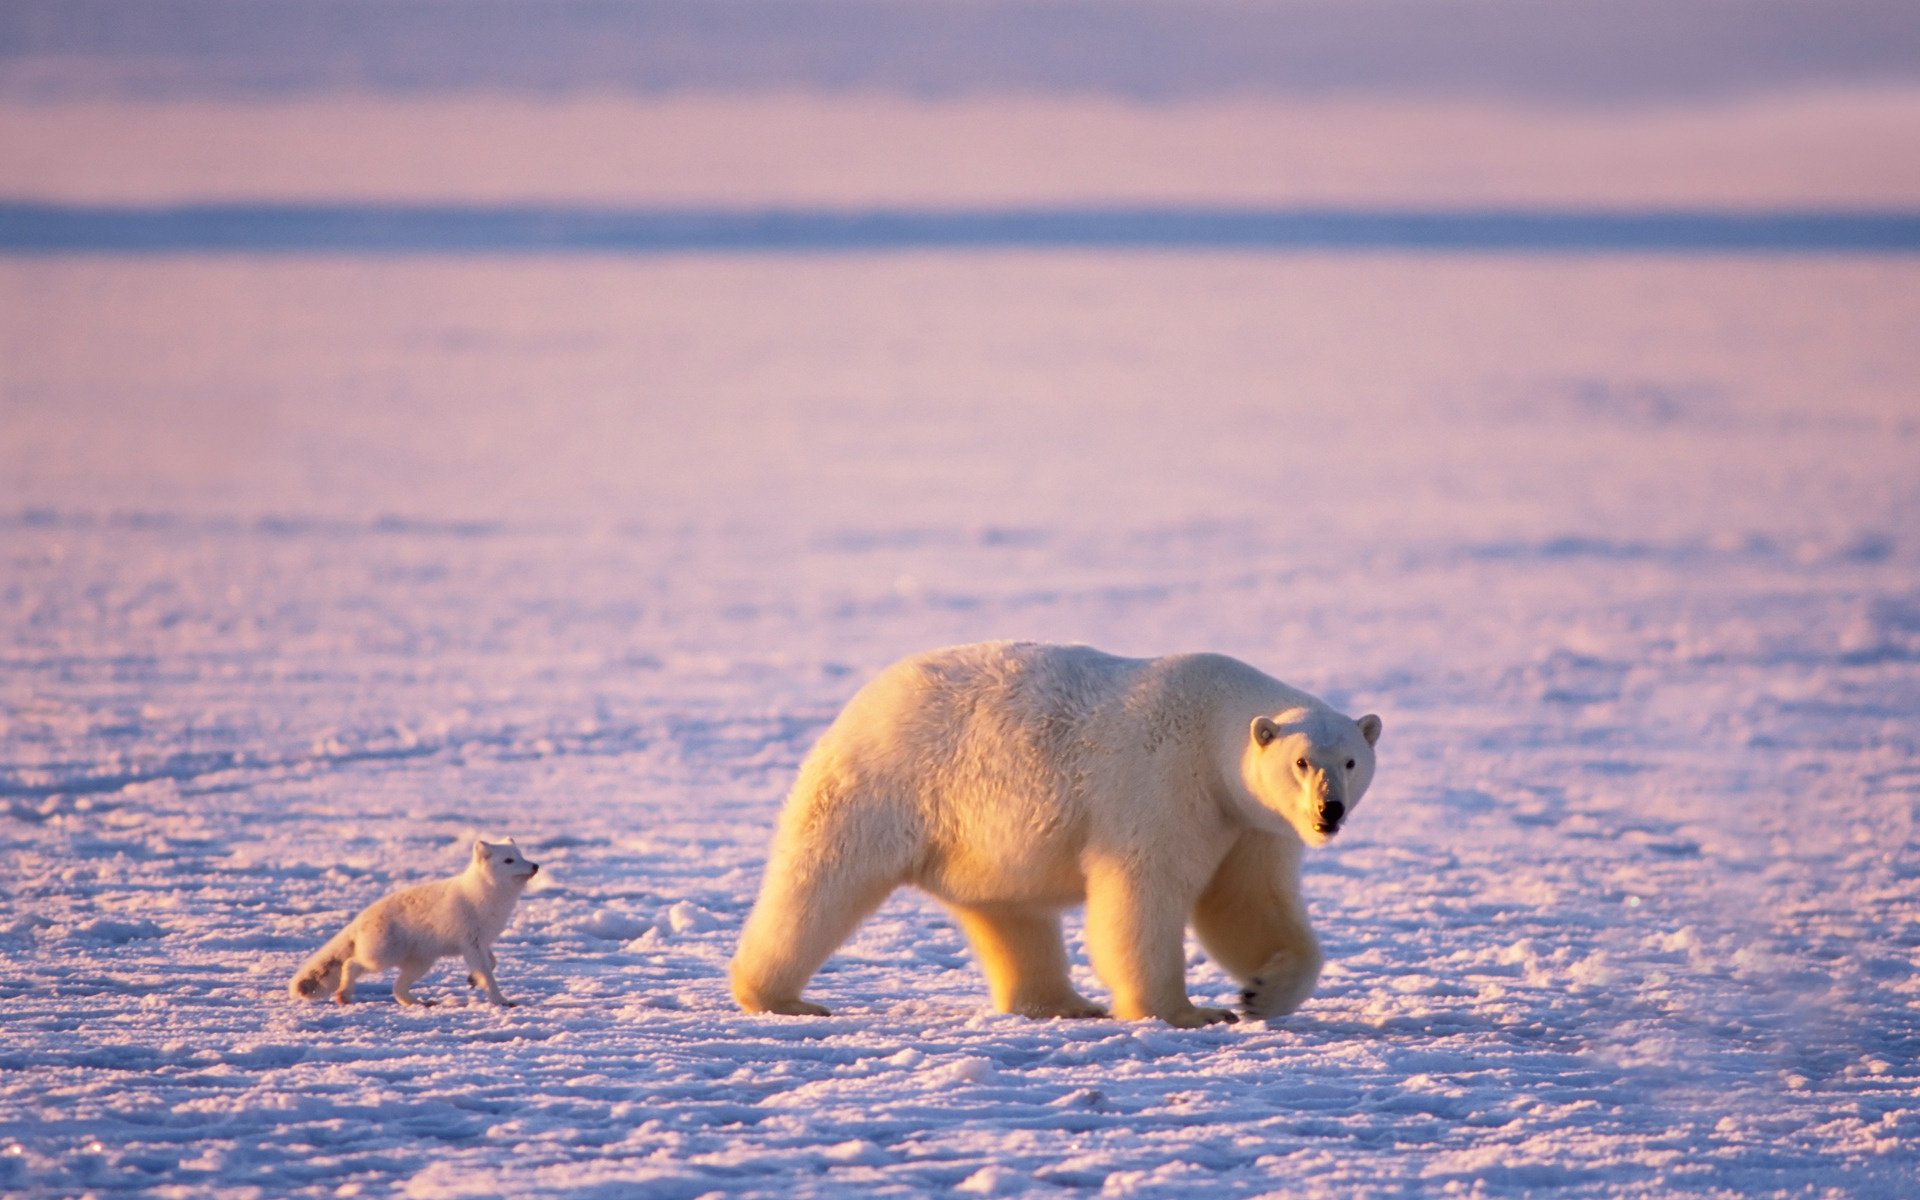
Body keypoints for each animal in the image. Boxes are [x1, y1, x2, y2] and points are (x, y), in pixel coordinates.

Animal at [289, 838, 539, 1007]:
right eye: (509, 860)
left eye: (521, 855)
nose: (535, 865)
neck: (486, 897)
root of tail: (360, 918)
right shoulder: (471, 943)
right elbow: (487, 973)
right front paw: (501, 1000)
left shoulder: (482, 942)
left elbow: (492, 963)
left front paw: (472, 980)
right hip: (382, 957)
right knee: (351, 963)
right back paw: (344, 995)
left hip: (421, 963)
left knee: (397, 988)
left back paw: (419, 1003)